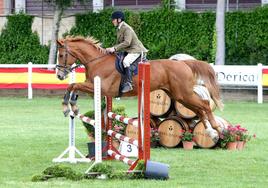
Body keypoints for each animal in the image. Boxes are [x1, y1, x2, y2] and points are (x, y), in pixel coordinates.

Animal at [56, 35, 224, 141]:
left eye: (61, 55)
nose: (59, 75)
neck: (97, 61)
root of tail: (183, 63)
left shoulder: (100, 88)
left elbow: (73, 85)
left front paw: (66, 107)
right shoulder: (93, 87)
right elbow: (74, 87)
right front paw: (72, 107)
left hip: (184, 94)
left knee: (204, 105)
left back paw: (218, 129)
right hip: (179, 96)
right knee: (199, 110)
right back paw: (211, 133)